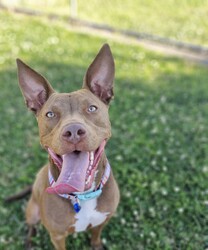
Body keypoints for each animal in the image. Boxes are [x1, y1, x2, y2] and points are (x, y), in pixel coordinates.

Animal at [16, 44, 119, 249]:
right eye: (50, 114)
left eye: (92, 108)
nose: (73, 131)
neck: (82, 196)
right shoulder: (57, 236)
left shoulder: (102, 221)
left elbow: (96, 236)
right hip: (32, 210)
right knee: (31, 225)